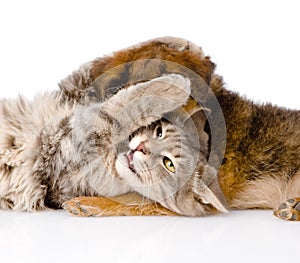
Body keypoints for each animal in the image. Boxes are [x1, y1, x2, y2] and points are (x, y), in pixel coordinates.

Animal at [0, 73, 227, 217]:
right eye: (159, 131)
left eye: (169, 164)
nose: (141, 147)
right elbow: (126, 103)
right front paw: (177, 84)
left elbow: (116, 114)